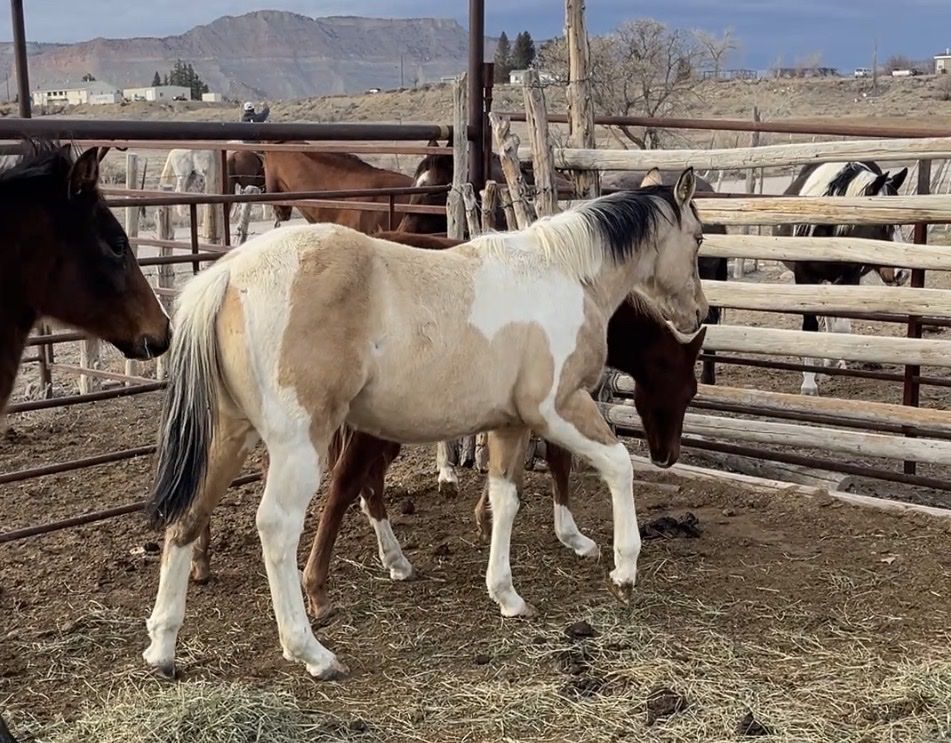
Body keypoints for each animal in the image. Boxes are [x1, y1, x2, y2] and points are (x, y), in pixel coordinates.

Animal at [142, 171, 707, 680]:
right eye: (699, 237)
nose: (699, 312)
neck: (564, 274)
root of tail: (227, 276)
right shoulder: (557, 407)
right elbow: (617, 466)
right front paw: (624, 569)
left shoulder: (510, 424)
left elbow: (505, 500)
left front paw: (507, 595)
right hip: (299, 445)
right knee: (278, 527)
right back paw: (312, 652)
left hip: (228, 435)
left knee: (187, 516)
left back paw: (163, 648)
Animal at [776, 161, 909, 395]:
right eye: (882, 223)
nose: (901, 273)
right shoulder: (804, 277)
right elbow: (810, 325)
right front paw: (809, 383)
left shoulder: (849, 277)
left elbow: (841, 327)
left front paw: (831, 361)